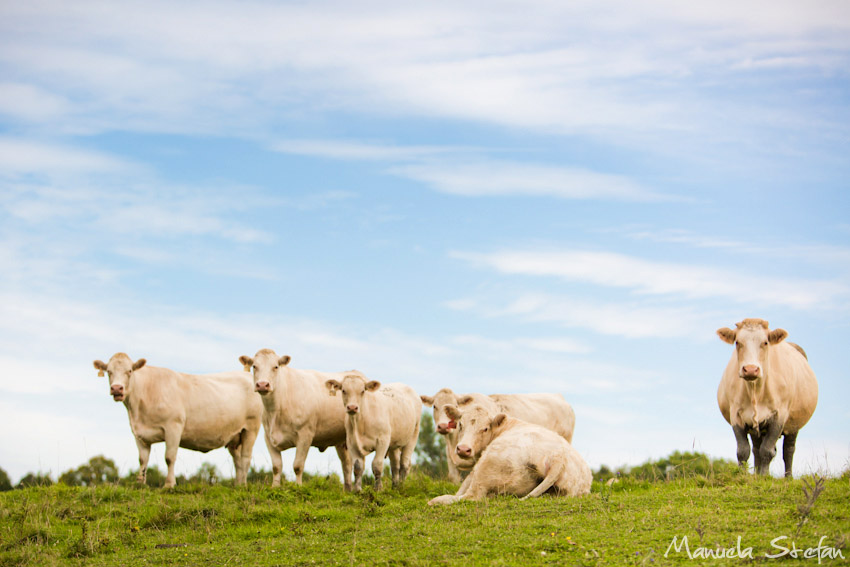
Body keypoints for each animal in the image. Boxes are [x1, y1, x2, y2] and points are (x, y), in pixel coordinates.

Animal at [93, 350, 262, 488]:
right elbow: (142, 460)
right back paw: (238, 485)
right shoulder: (139, 434)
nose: (117, 388)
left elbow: (169, 457)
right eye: (109, 371)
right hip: (235, 436)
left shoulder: (173, 427)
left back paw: (243, 485)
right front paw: (140, 484)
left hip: (251, 428)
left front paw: (169, 485)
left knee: (246, 458)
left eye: (129, 371)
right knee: (238, 460)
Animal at [238, 348, 362, 490]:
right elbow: (276, 467)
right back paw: (347, 490)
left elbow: (297, 466)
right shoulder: (268, 437)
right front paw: (275, 487)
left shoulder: (305, 435)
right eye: (254, 366)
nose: (263, 385)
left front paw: (298, 487)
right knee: (346, 464)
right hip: (341, 441)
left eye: (276, 366)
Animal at [428, 404, 588, 506]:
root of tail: (558, 456)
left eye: (485, 428)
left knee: (472, 496)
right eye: (460, 425)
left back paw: (436, 501)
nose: (463, 449)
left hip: (487, 467)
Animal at [716, 320, 816, 474]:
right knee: (756, 449)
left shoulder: (779, 416)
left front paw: (764, 476)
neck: (755, 390)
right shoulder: (736, 416)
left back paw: (788, 476)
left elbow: (767, 451)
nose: (751, 369)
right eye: (738, 342)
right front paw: (743, 475)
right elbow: (743, 451)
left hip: (794, 422)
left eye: (765, 342)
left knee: (788, 450)